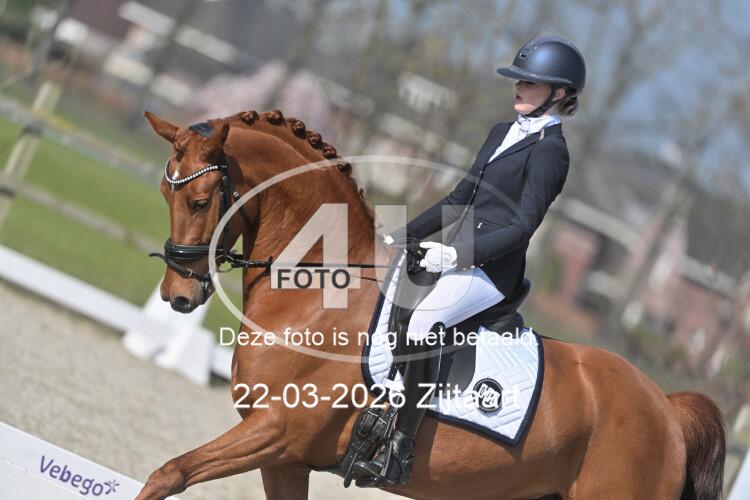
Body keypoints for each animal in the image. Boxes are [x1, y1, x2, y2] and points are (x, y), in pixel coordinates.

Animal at [136, 109, 725, 500]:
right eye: (165, 196)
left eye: (200, 201)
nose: (177, 296)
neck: (318, 292)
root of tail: (665, 406)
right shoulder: (286, 458)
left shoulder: (277, 432)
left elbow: (169, 472)